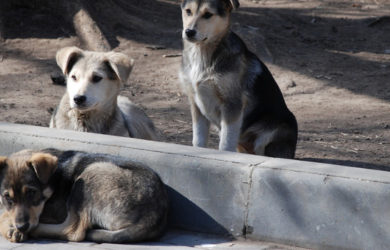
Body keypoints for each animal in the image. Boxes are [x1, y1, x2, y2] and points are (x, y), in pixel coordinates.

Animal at [0, 148, 168, 242]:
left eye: (32, 193)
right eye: (7, 197)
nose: (22, 227)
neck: (53, 179)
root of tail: (153, 218)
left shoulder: (54, 211)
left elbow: (4, 216)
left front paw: (11, 229)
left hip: (91, 173)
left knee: (73, 231)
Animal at [178, 0, 298, 158]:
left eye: (208, 14)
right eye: (188, 11)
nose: (189, 32)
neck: (202, 54)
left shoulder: (232, 104)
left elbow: (226, 144)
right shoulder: (196, 103)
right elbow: (198, 140)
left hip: (275, 129)